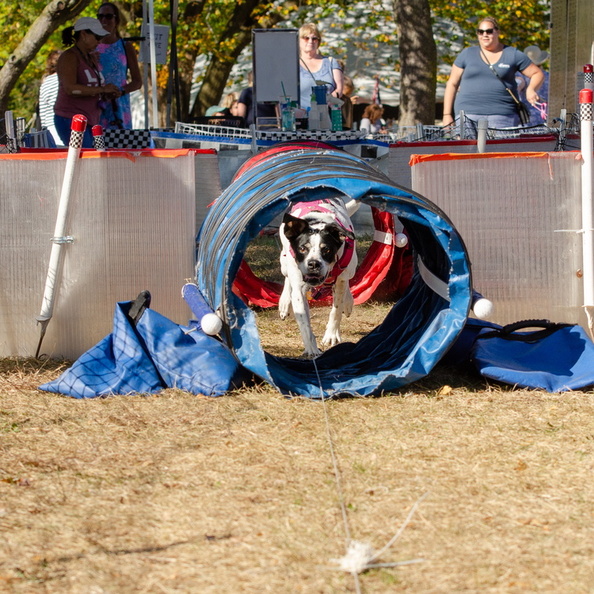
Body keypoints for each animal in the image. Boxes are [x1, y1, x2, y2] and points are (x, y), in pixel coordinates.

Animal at [278, 197, 356, 358]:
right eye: (302, 248)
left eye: (326, 249)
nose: (313, 264)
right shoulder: (299, 288)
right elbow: (304, 323)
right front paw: (312, 349)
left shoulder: (341, 279)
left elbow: (336, 310)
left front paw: (331, 335)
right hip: (284, 261)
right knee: (287, 277)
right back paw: (284, 303)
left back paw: (348, 303)